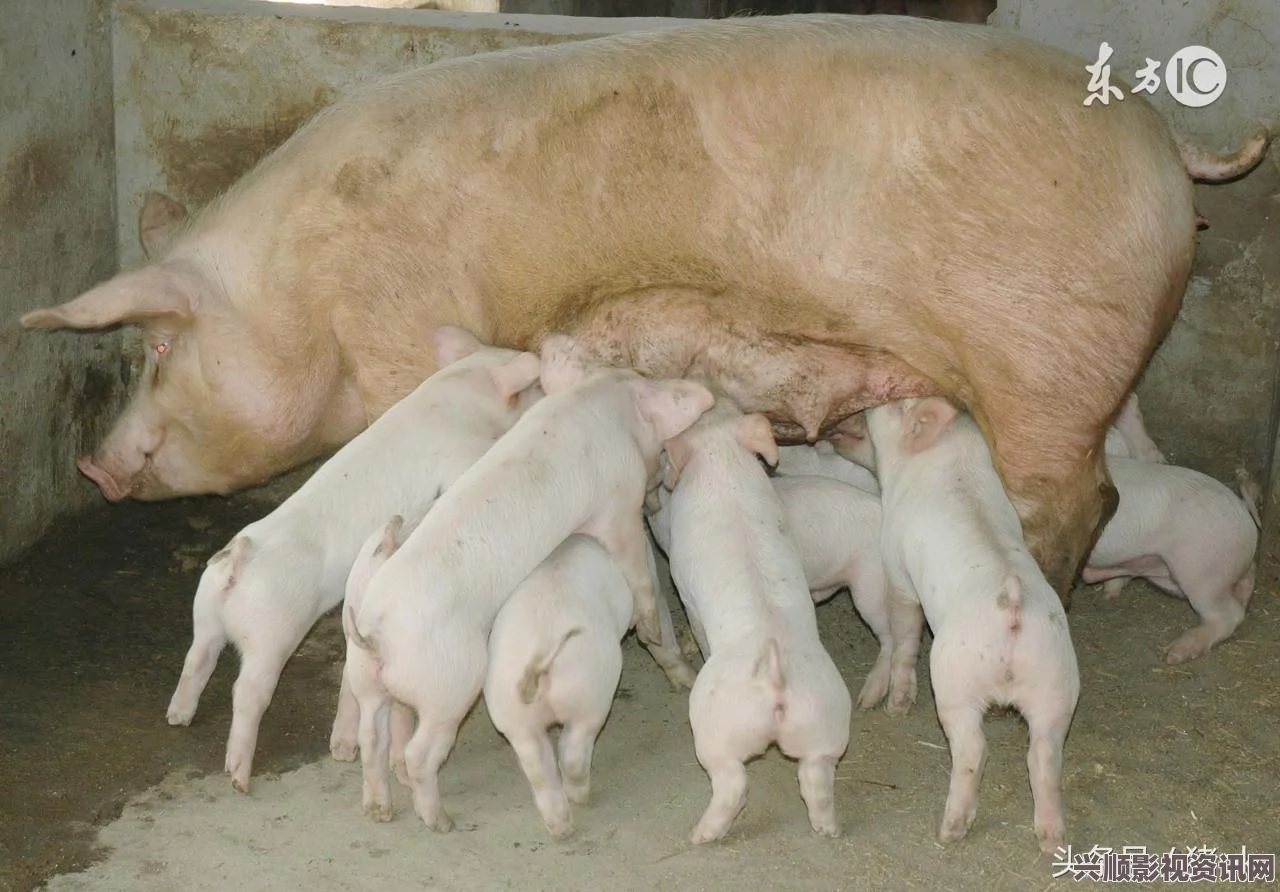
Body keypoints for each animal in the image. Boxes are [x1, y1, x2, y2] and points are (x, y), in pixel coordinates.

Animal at [17, 13, 1269, 601]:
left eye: (157, 347)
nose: (89, 462)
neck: (310, 284)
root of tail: (1169, 140)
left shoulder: (405, 331)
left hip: (1043, 364)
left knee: (1078, 498)